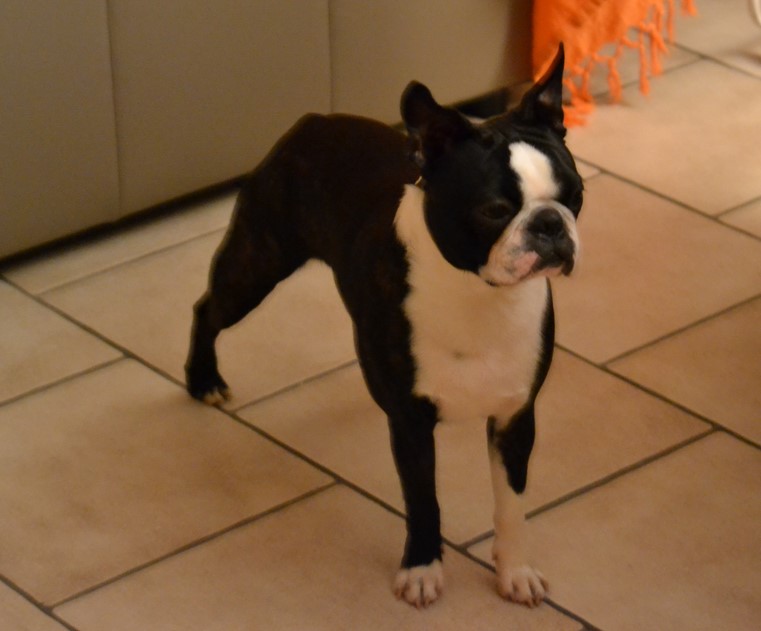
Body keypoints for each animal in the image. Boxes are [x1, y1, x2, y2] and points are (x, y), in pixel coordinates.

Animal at [186, 44, 582, 609]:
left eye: (574, 195)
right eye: (495, 210)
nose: (550, 223)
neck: (476, 292)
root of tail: (315, 120)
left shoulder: (515, 416)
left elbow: (512, 506)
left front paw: (515, 571)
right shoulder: (411, 423)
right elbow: (424, 502)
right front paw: (422, 570)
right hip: (256, 265)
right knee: (206, 308)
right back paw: (203, 379)